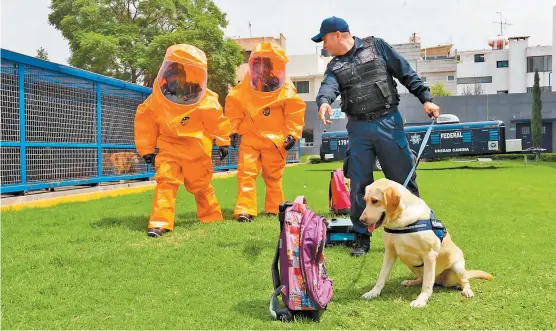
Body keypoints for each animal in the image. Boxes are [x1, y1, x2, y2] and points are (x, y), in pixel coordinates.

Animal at [356, 179, 490, 308]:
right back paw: (411, 281)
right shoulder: (390, 252)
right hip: (411, 264)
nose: (361, 220)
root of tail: (440, 280)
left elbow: (427, 284)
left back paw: (467, 290)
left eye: (375, 201)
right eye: (365, 201)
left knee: (464, 281)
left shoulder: (429, 255)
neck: (400, 222)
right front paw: (373, 292)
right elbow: (381, 277)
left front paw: (421, 300)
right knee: (421, 279)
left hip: (458, 267)